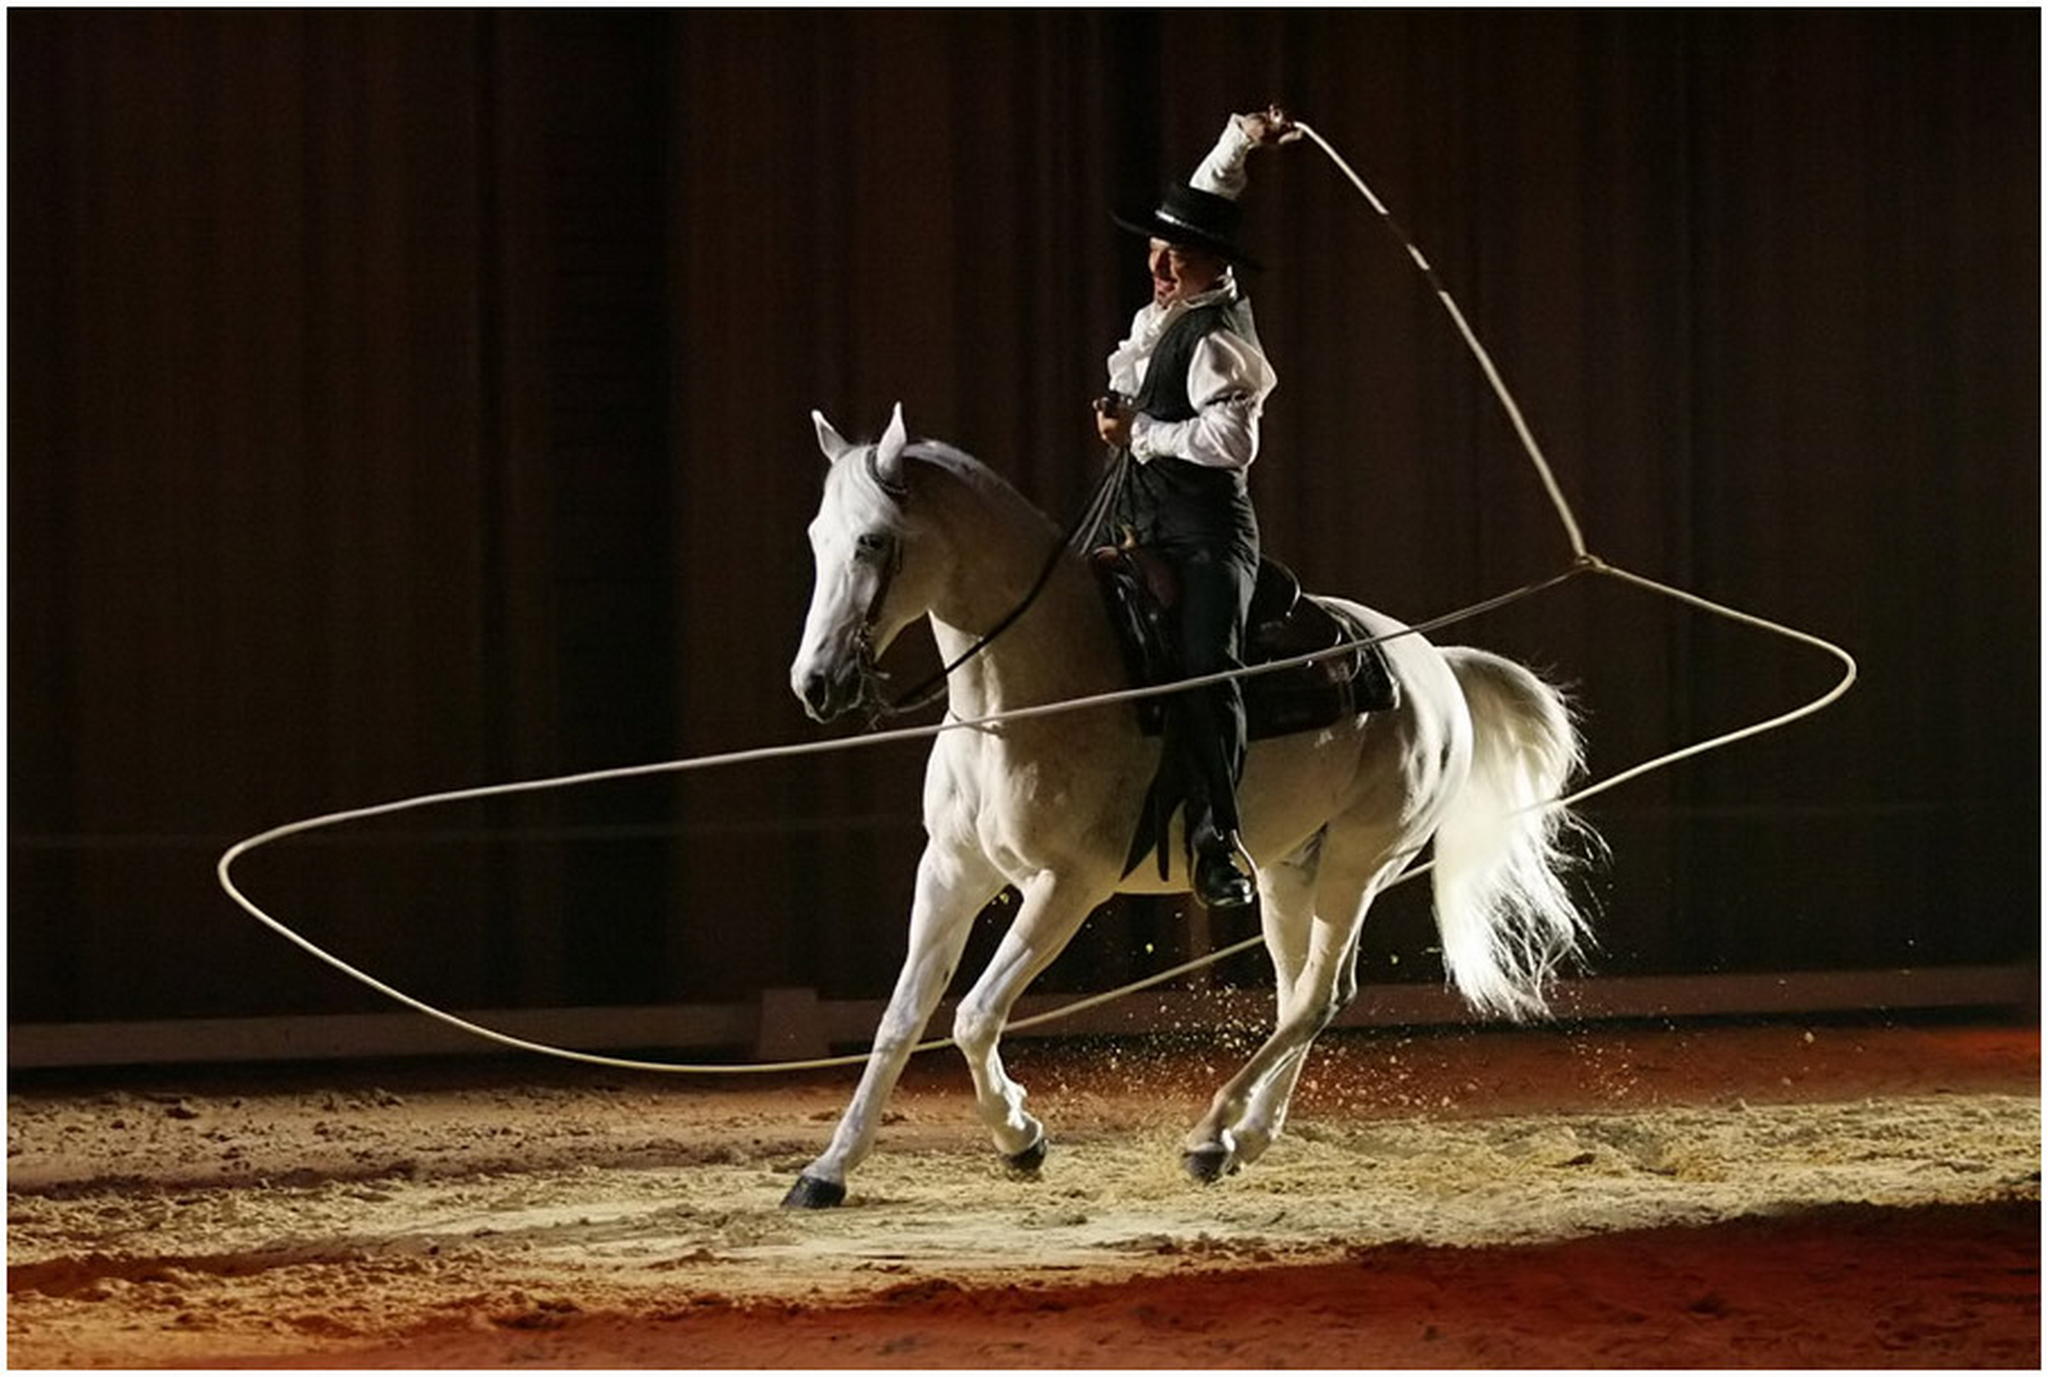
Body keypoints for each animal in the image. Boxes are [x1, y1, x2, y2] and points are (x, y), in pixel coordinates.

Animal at [781, 403, 1595, 1209]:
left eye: (873, 539)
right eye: (817, 538)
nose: (815, 684)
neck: (1039, 690)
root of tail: (1433, 666)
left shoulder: (1065, 885)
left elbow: (975, 1016)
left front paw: (1020, 1138)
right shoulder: (952, 869)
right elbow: (902, 1019)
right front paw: (828, 1169)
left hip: (1359, 864)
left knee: (1317, 996)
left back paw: (1211, 1132)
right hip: (1289, 870)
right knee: (1304, 992)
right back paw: (1243, 1138)